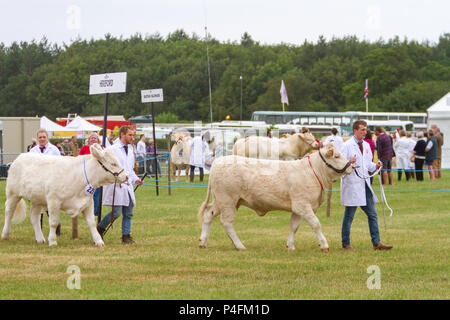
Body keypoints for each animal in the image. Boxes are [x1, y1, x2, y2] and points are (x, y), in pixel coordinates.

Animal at [199, 143, 354, 252]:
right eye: (337, 156)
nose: (352, 166)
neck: (313, 171)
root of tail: (217, 162)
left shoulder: (297, 208)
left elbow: (294, 227)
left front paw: (290, 246)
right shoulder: (302, 205)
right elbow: (316, 224)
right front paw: (324, 245)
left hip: (220, 201)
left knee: (208, 214)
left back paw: (203, 242)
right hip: (227, 201)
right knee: (227, 222)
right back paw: (239, 245)